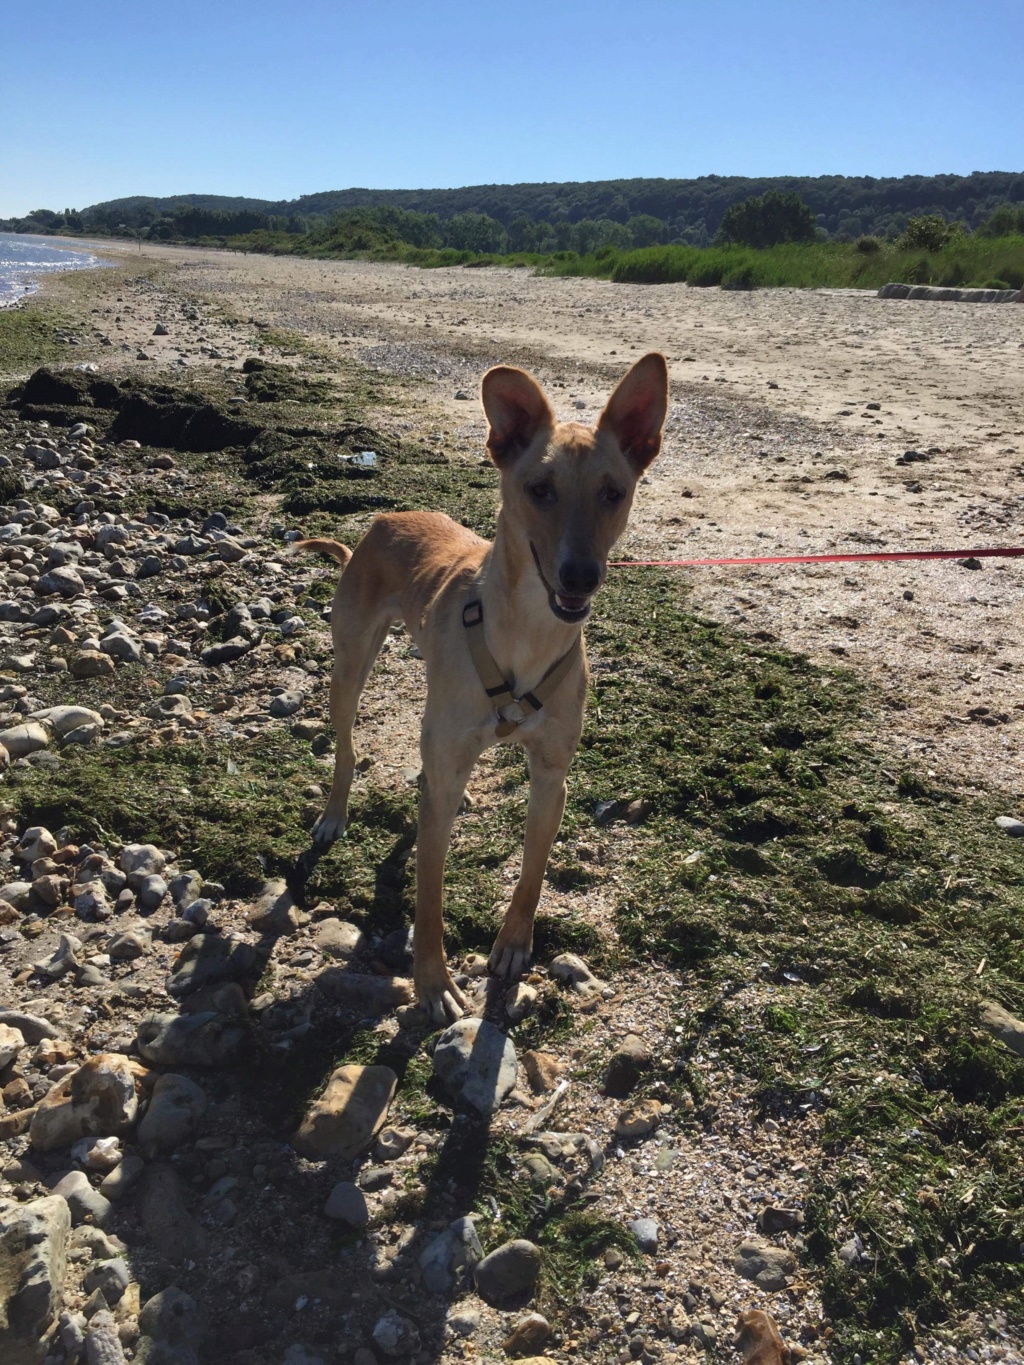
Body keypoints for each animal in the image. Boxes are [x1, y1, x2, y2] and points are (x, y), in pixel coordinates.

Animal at [292, 357, 669, 1021]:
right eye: (539, 489)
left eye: (613, 493)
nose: (581, 576)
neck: (528, 633)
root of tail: (386, 519)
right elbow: (429, 897)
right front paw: (432, 981)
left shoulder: (551, 777)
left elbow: (533, 874)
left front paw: (514, 946)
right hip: (350, 668)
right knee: (347, 748)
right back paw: (335, 813)